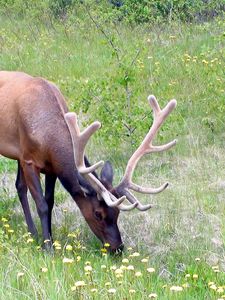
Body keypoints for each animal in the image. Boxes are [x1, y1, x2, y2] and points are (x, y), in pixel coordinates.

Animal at [0, 71, 177, 252]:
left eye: (117, 213)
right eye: (98, 214)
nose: (118, 248)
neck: (48, 137)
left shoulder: (50, 167)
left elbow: (49, 201)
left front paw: (50, 239)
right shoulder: (29, 160)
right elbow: (41, 204)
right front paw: (48, 247)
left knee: (19, 186)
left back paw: (32, 233)